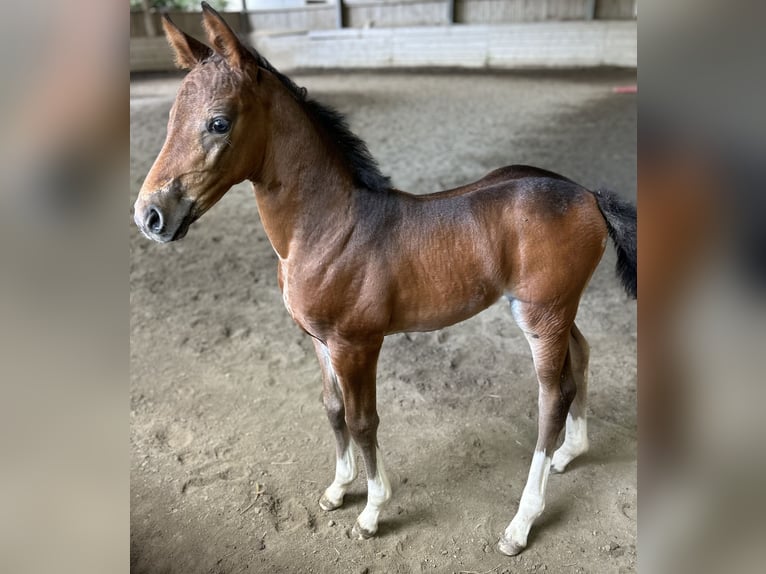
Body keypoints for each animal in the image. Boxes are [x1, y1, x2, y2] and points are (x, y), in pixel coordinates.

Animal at [135, 2, 640, 556]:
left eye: (218, 123)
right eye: (170, 119)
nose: (150, 216)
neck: (331, 228)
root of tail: (589, 195)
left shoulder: (356, 344)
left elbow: (363, 421)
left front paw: (373, 511)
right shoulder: (319, 341)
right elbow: (332, 409)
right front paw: (338, 489)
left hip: (541, 315)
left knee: (553, 396)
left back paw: (520, 523)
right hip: (555, 308)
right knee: (582, 353)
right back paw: (570, 453)